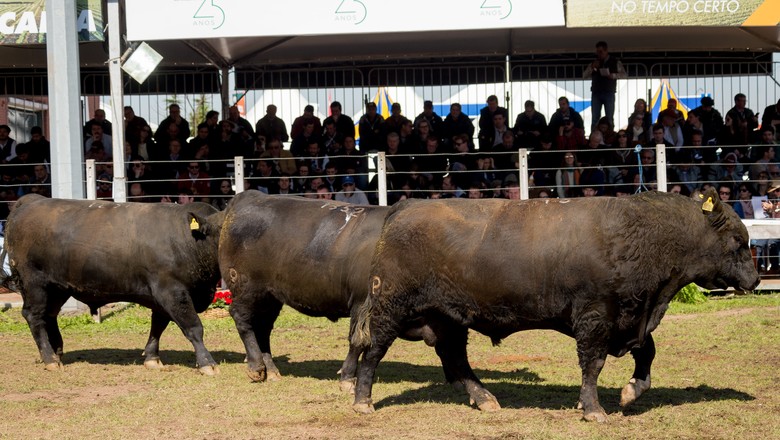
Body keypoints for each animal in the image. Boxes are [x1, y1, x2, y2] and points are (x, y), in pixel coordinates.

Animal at [6, 195, 224, 374]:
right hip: (34, 284)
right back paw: (50, 359)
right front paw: (207, 363)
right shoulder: (172, 291)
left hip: (57, 288)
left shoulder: (164, 295)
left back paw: (57, 352)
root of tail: (32, 200)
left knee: (49, 315)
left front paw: (152, 358)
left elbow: (158, 326)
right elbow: (193, 326)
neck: (189, 241)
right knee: (35, 316)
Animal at [352, 190, 756, 422]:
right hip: (390, 308)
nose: (754, 280)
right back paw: (363, 401)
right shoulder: (596, 316)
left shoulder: (630, 316)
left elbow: (647, 353)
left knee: (455, 359)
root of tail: (405, 207)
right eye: (738, 240)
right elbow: (593, 363)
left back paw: (485, 399)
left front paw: (630, 391)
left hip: (449, 318)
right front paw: (593, 410)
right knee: (373, 351)